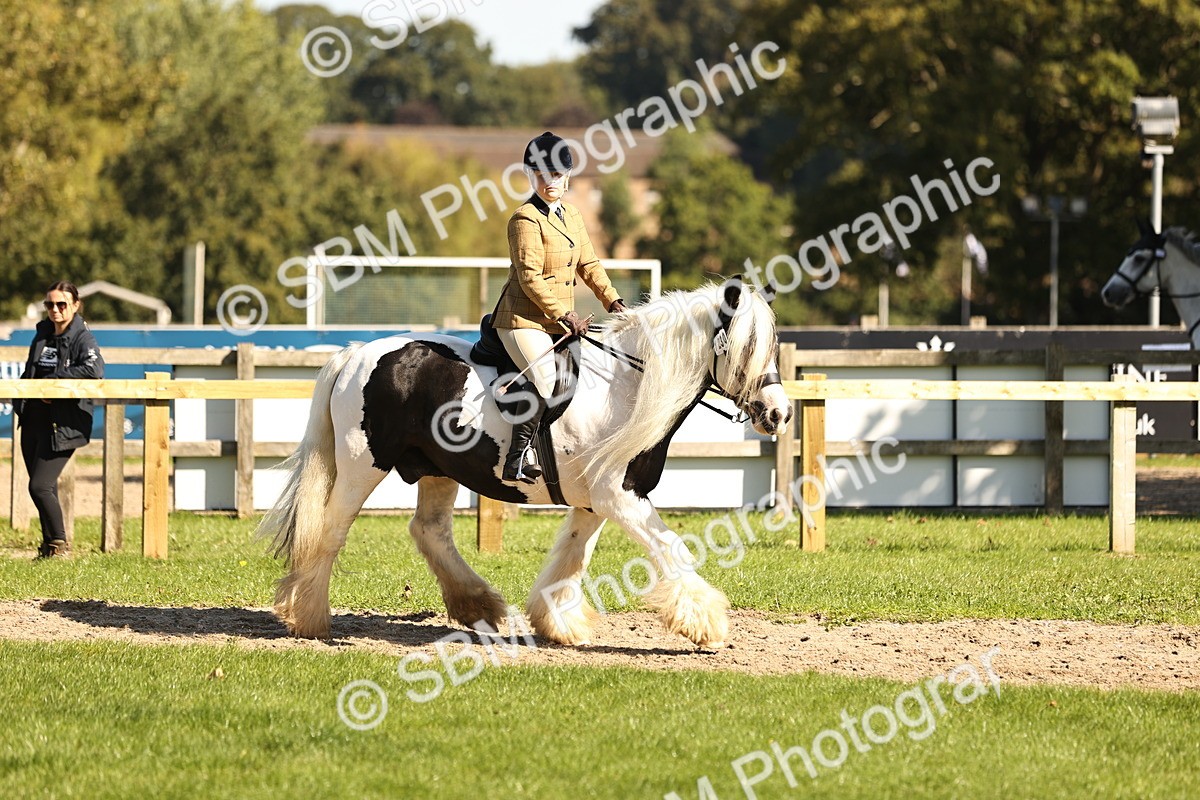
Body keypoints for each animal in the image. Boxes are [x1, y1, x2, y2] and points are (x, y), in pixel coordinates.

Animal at [258, 279, 793, 649]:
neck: (626, 386)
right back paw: (309, 618)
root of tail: (355, 354)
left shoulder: (594, 501)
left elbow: (572, 557)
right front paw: (708, 624)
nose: (780, 413)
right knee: (329, 531)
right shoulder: (618, 496)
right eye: (746, 348)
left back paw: (479, 606)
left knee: (429, 531)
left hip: (436, 470)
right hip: (361, 466)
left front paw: (559, 624)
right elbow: (671, 549)